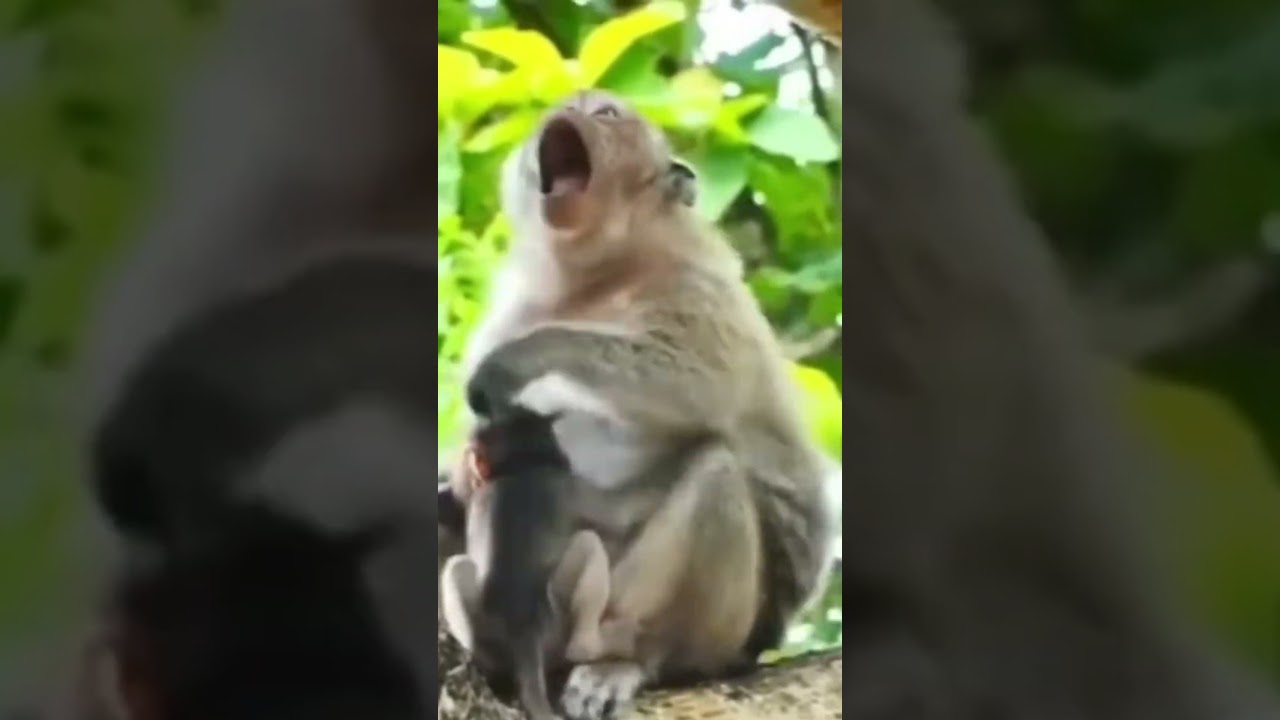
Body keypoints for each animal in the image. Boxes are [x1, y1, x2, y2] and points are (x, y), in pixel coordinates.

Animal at [443, 90, 840, 720]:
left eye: (606, 113)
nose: (573, 106)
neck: (592, 275)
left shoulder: (697, 287)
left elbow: (698, 381)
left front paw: (519, 363)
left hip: (672, 625)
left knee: (717, 472)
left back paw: (629, 658)